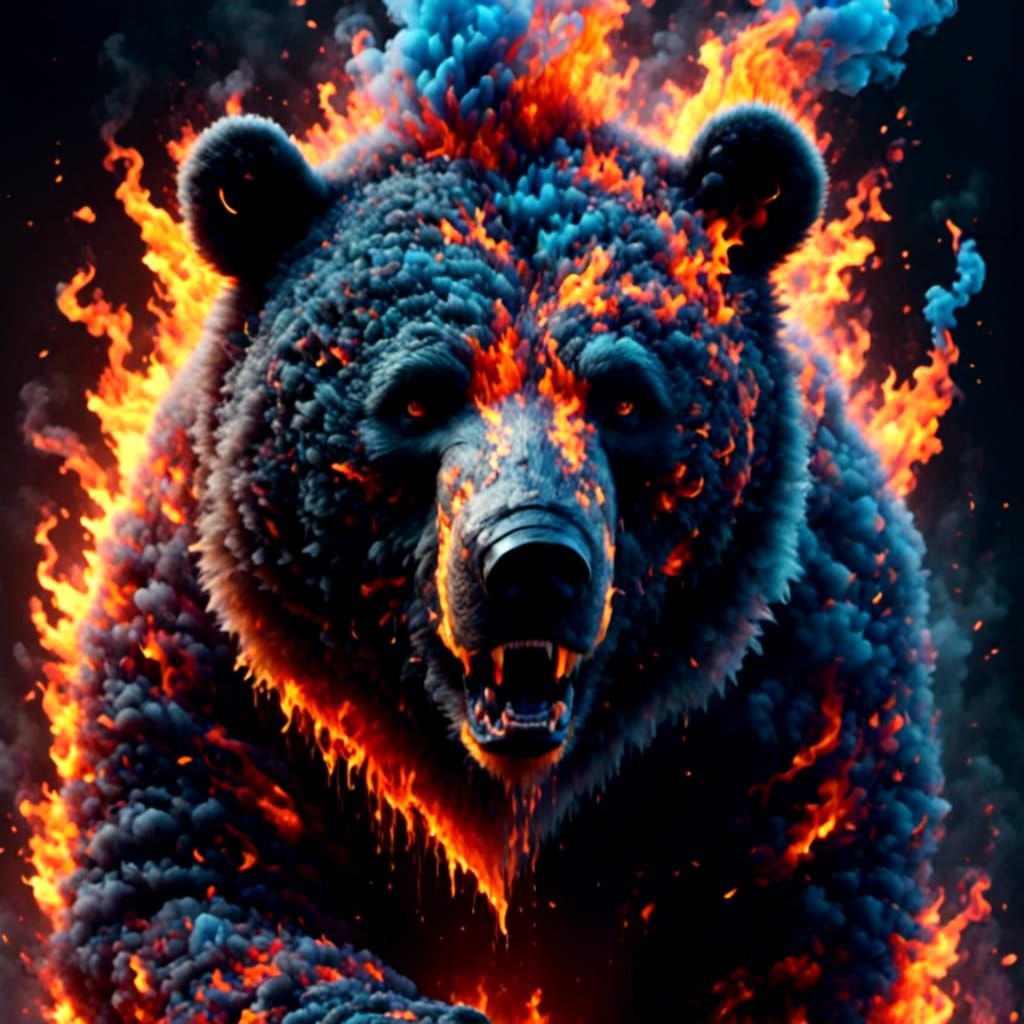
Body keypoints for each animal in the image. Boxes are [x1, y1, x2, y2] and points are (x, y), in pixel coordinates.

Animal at [29, 3, 951, 1022]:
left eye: (625, 398)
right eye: (416, 400)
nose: (533, 564)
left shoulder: (788, 685)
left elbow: (796, 922)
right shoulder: (213, 664)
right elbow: (200, 894)